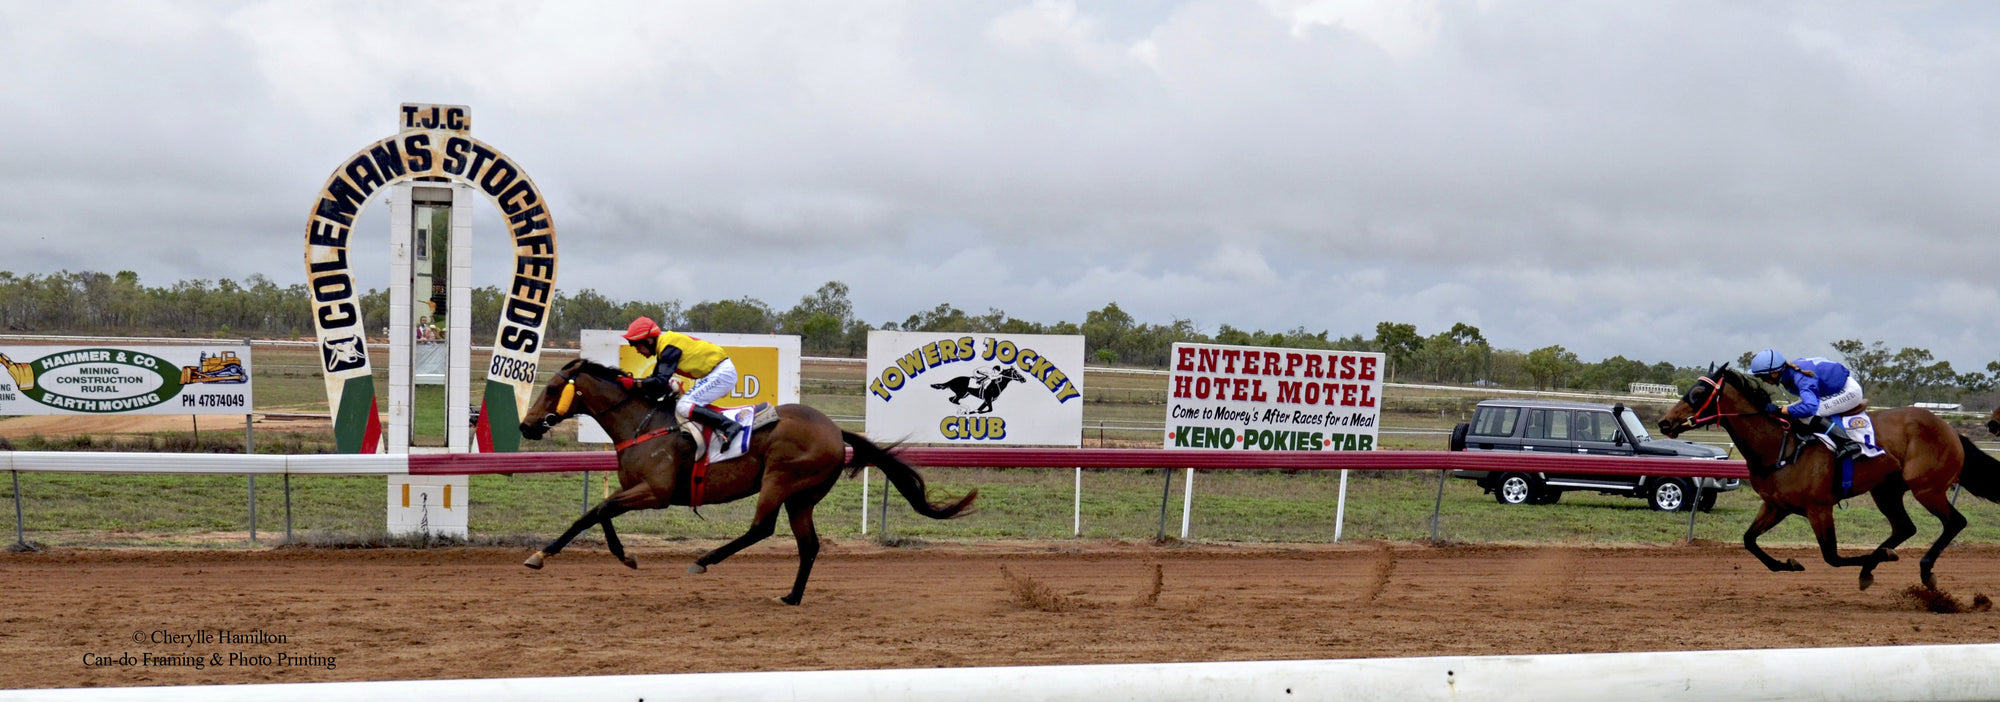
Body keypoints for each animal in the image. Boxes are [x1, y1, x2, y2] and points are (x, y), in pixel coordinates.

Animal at [516, 360, 976, 608]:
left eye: (552, 388)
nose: (526, 425)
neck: (644, 425)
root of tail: (834, 431)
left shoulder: (656, 493)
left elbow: (594, 512)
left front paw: (542, 554)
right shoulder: (634, 490)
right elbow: (600, 511)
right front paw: (622, 555)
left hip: (780, 479)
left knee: (761, 528)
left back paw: (705, 560)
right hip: (802, 497)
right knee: (809, 545)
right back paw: (791, 597)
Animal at [1656, 366, 2000, 592]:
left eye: (1698, 392)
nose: (1664, 422)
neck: (1780, 446)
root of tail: (1950, 429)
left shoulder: (1819, 507)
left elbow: (1831, 557)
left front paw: (1879, 559)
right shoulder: (1775, 506)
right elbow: (1749, 541)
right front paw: (1787, 564)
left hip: (1927, 487)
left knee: (1954, 522)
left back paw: (1923, 570)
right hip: (1886, 490)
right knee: (1905, 527)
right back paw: (1875, 565)